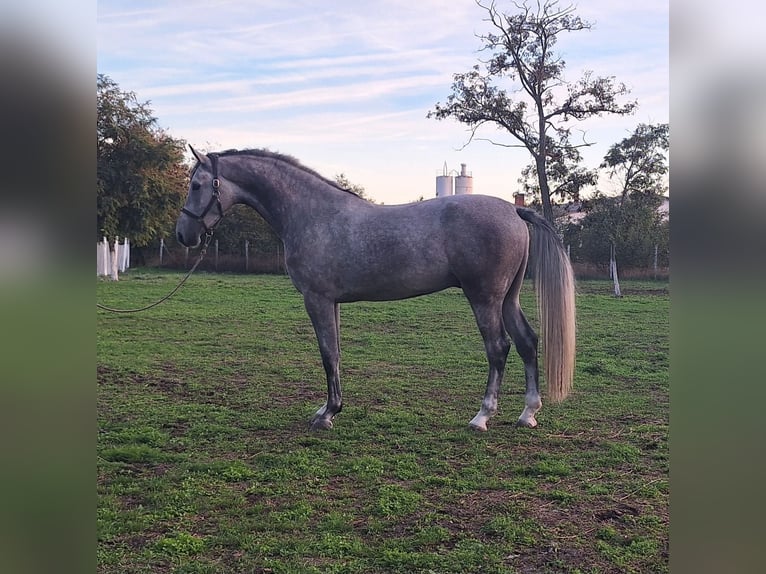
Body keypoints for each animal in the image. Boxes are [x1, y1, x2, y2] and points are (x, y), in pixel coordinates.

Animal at [177, 147, 576, 432]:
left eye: (196, 185)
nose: (184, 235)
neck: (312, 214)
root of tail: (513, 210)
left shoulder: (316, 300)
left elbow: (327, 355)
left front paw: (327, 415)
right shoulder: (332, 302)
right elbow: (336, 353)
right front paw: (330, 408)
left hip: (484, 298)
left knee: (498, 348)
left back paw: (482, 417)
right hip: (508, 298)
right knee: (527, 342)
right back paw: (527, 414)